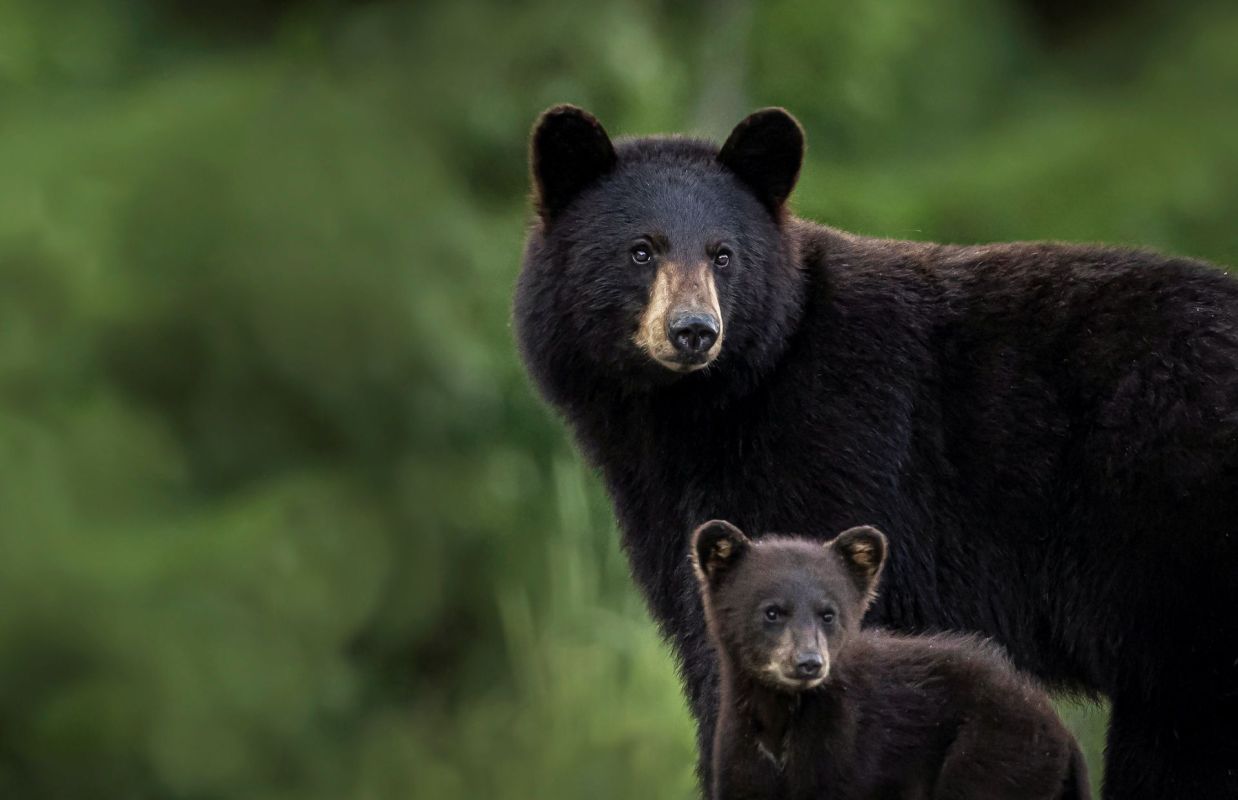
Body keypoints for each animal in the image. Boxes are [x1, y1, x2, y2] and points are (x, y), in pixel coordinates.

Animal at [692, 519, 1090, 800]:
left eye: (829, 614)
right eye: (772, 612)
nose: (809, 662)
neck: (782, 718)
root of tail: (1061, 731)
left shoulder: (850, 750)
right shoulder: (741, 754)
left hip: (996, 753)